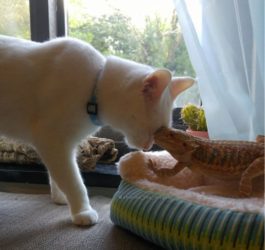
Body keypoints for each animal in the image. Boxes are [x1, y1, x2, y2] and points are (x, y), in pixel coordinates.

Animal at [0, 35, 194, 227]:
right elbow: (74, 181)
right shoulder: (52, 141)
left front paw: (61, 197)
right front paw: (82, 211)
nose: (147, 147)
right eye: (156, 131)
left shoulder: (56, 146)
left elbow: (57, 175)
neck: (93, 86)